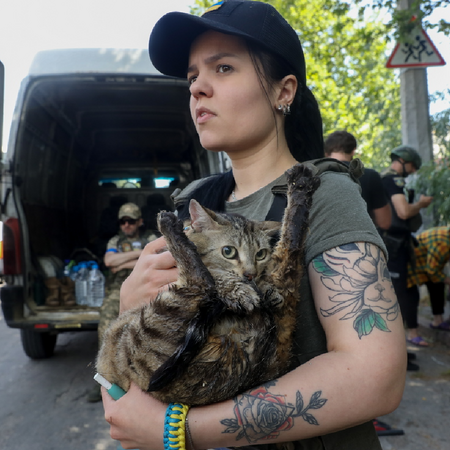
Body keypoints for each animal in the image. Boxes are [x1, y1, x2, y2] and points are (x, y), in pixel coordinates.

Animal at [96, 163, 320, 406]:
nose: (250, 275)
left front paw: (265, 288)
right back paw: (168, 225)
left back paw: (300, 186)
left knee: (288, 250)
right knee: (201, 282)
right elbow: (214, 273)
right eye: (228, 251)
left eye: (260, 254)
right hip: (141, 341)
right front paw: (237, 290)